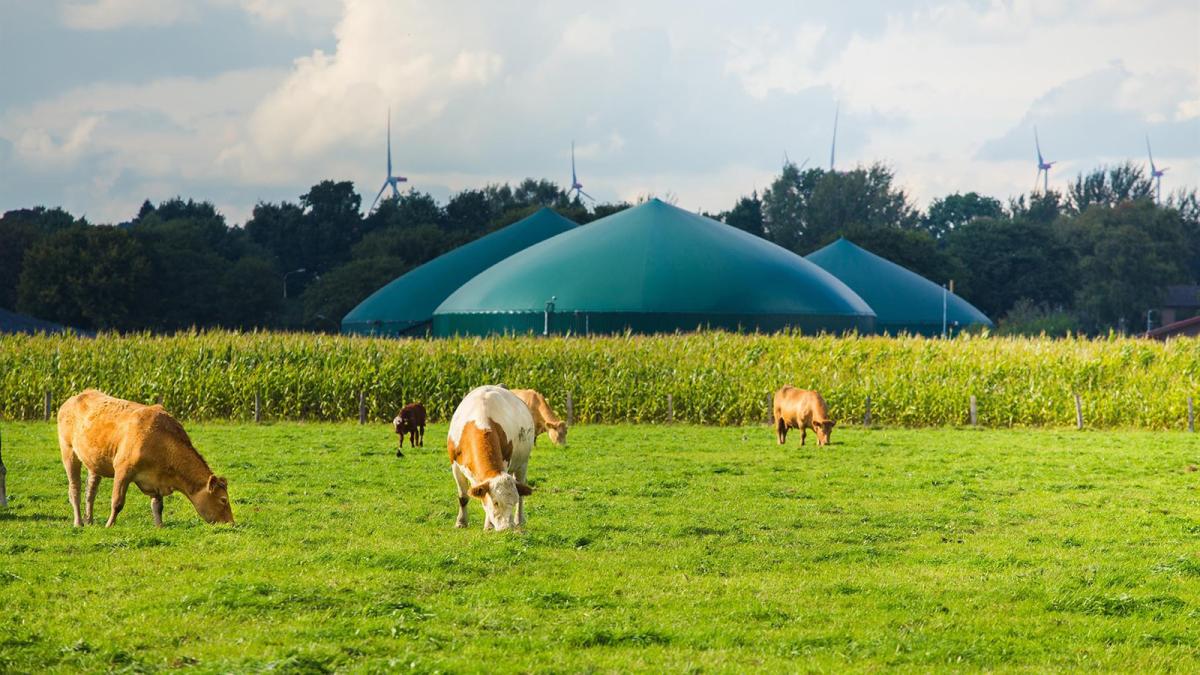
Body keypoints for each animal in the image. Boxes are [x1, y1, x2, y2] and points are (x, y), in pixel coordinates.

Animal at [56, 389, 234, 526]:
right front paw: (109, 524)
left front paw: (160, 526)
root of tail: (75, 398)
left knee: (90, 491)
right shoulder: (122, 469)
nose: (231, 523)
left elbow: (158, 506)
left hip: (94, 461)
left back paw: (90, 520)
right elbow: (117, 502)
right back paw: (79, 522)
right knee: (75, 488)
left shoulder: (157, 479)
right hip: (68, 451)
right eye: (223, 500)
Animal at [448, 384, 537, 530]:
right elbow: (463, 496)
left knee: (521, 495)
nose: (507, 528)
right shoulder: (455, 466)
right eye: (495, 502)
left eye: (512, 503)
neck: (481, 422)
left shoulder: (505, 464)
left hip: (523, 464)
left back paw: (519, 520)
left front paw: (488, 527)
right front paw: (461, 522)